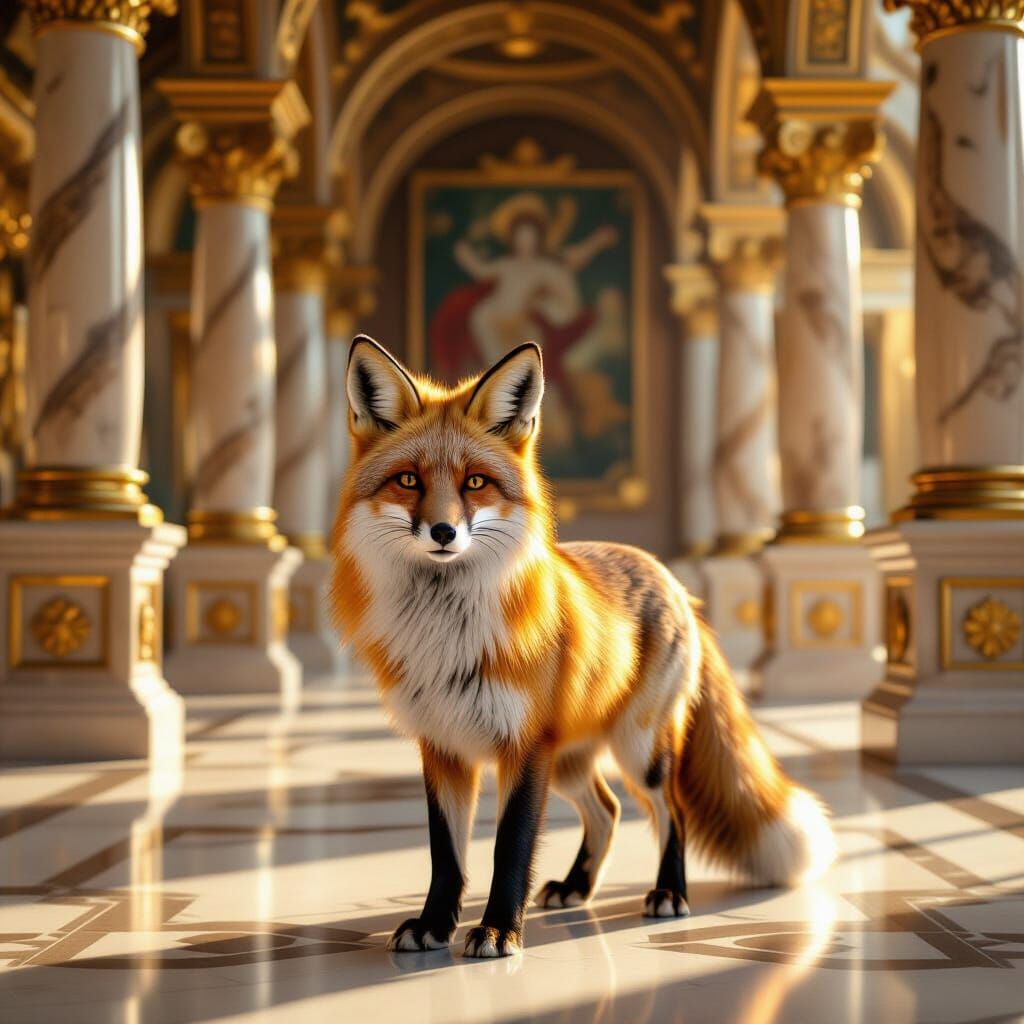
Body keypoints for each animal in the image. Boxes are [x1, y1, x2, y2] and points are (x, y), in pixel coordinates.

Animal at [329, 335, 836, 959]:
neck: (447, 633)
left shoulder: (525, 746)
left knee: (671, 812)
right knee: (608, 810)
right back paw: (577, 887)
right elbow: (445, 856)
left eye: (475, 482)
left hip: (639, 750)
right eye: (408, 481)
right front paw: (434, 924)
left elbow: (510, 847)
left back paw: (669, 894)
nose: (444, 533)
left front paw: (498, 929)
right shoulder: (442, 747)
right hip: (571, 760)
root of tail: (669, 577)